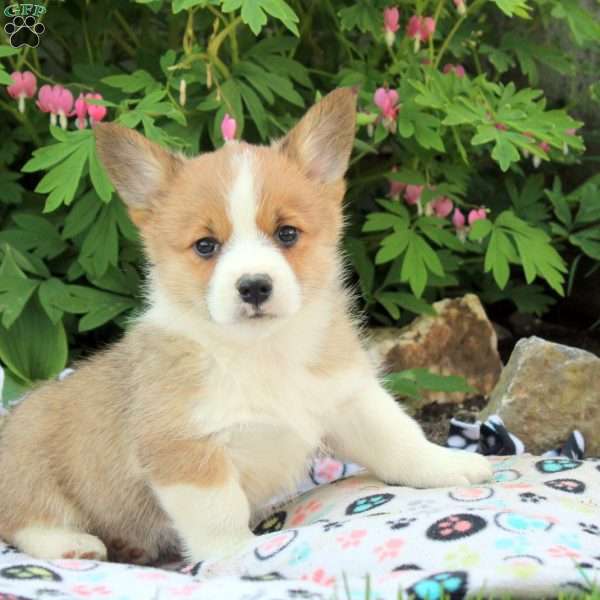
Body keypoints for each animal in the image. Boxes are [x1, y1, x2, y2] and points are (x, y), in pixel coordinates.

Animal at [0, 88, 492, 564]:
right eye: (205, 245)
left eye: (287, 233)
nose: (254, 286)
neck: (261, 351)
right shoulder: (186, 449)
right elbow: (220, 514)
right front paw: (238, 556)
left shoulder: (350, 399)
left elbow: (400, 440)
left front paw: (450, 466)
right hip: (30, 468)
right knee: (23, 519)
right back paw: (72, 544)